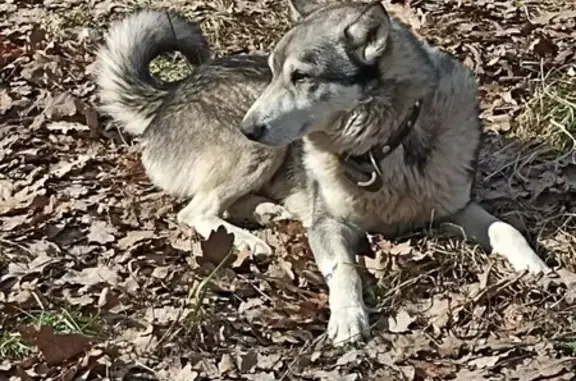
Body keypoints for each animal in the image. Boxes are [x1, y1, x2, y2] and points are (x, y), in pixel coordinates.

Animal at [97, 0, 552, 344]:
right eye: (275, 72)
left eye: (301, 76)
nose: (248, 127)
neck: (383, 148)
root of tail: (168, 95)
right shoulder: (330, 224)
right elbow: (345, 270)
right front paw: (349, 317)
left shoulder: (456, 209)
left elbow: (506, 229)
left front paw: (534, 265)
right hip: (258, 153)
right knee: (195, 211)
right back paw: (248, 241)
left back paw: (268, 214)